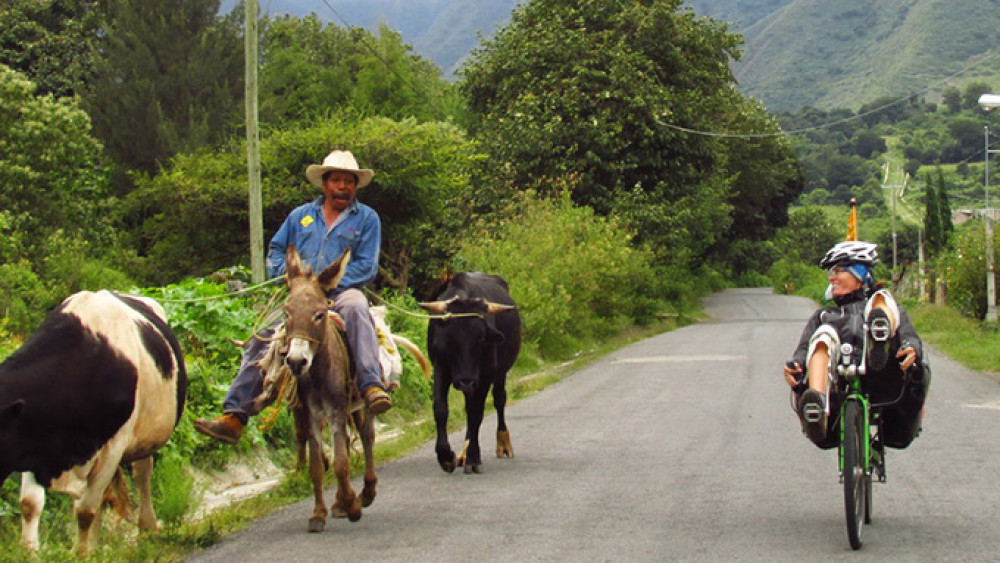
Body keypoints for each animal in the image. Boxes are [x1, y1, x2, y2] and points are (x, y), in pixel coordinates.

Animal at [0, 290, 187, 556]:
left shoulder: (113, 447)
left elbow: (85, 510)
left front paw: (80, 554)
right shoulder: (33, 444)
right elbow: (30, 503)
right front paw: (29, 552)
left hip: (144, 437)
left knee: (141, 475)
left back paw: (147, 526)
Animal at [418, 276, 524, 474]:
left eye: (481, 339)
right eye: (450, 338)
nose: (465, 381)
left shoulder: (485, 377)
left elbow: (476, 414)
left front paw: (474, 458)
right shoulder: (440, 369)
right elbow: (440, 409)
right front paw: (445, 457)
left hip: (500, 374)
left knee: (499, 400)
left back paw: (502, 443)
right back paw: (463, 453)